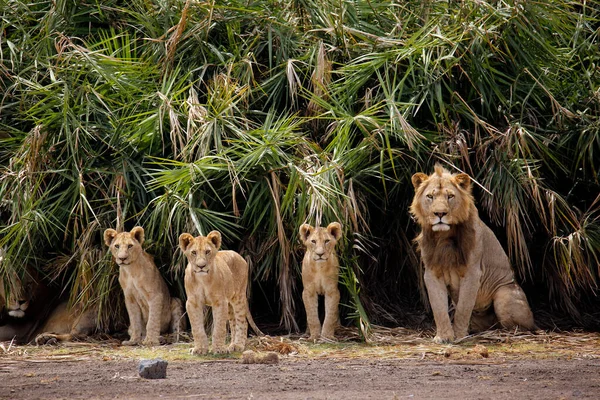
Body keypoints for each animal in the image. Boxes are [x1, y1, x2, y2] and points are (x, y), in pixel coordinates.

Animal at [410, 166, 536, 344]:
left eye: (450, 196)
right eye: (430, 196)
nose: (440, 214)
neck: (444, 237)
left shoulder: (472, 272)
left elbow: (463, 308)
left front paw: (459, 336)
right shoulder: (432, 273)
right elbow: (439, 308)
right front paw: (443, 336)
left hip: (504, 295)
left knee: (521, 327)